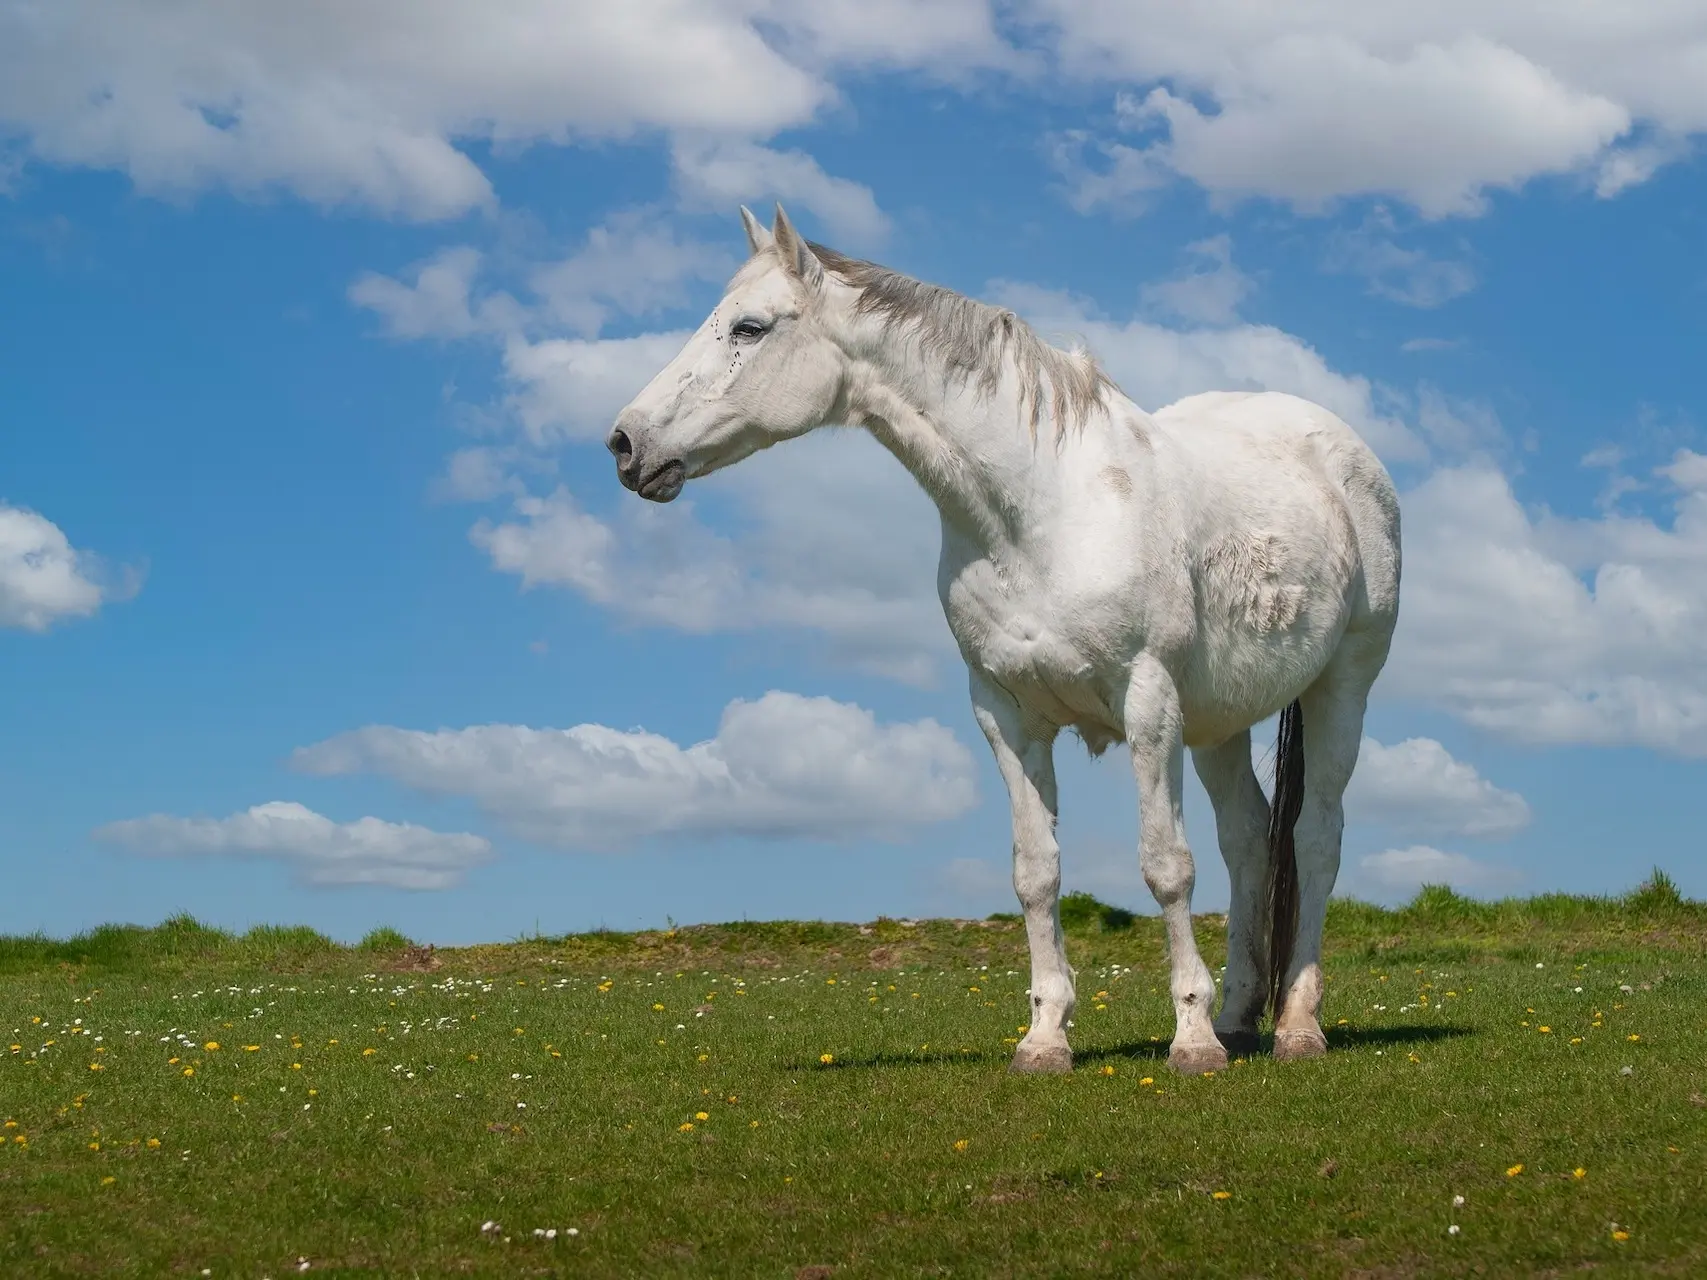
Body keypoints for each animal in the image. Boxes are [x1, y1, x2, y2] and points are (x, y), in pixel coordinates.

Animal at [607, 205, 1392, 1078]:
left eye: (749, 326)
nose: (626, 444)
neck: (1040, 512)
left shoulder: (1148, 702)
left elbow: (1165, 866)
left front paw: (1188, 1041)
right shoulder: (1005, 715)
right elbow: (1036, 873)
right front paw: (1045, 1038)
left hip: (1340, 689)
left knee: (1313, 839)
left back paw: (1294, 1025)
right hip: (1218, 723)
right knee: (1250, 843)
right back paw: (1238, 1018)